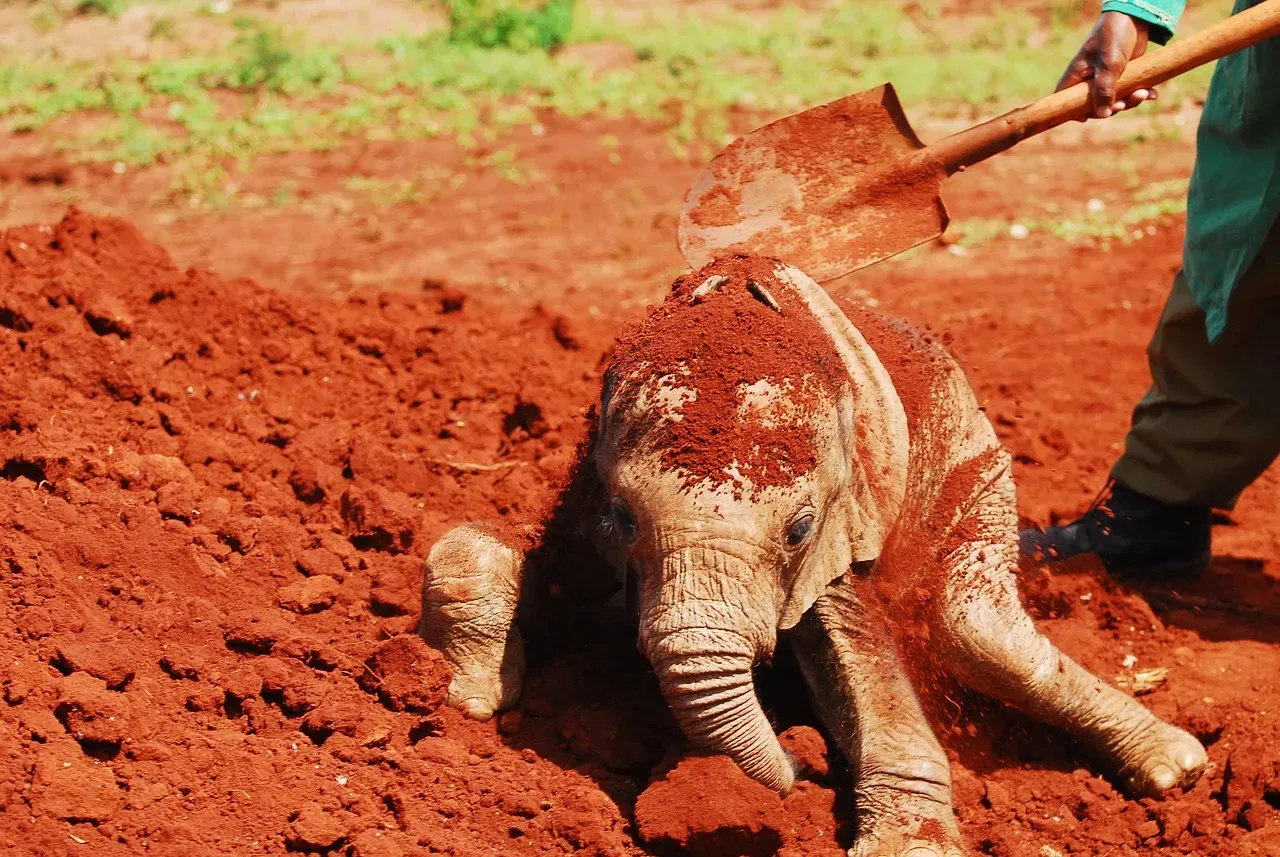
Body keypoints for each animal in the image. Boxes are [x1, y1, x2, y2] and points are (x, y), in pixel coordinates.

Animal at [419, 256, 1207, 856]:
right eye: (624, 515)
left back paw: (1178, 770)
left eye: (798, 529)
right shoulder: (591, 487)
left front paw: (908, 846)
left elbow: (855, 645)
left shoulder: (848, 512)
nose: (800, 764)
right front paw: (471, 689)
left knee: (974, 631)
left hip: (976, 456)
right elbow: (516, 559)